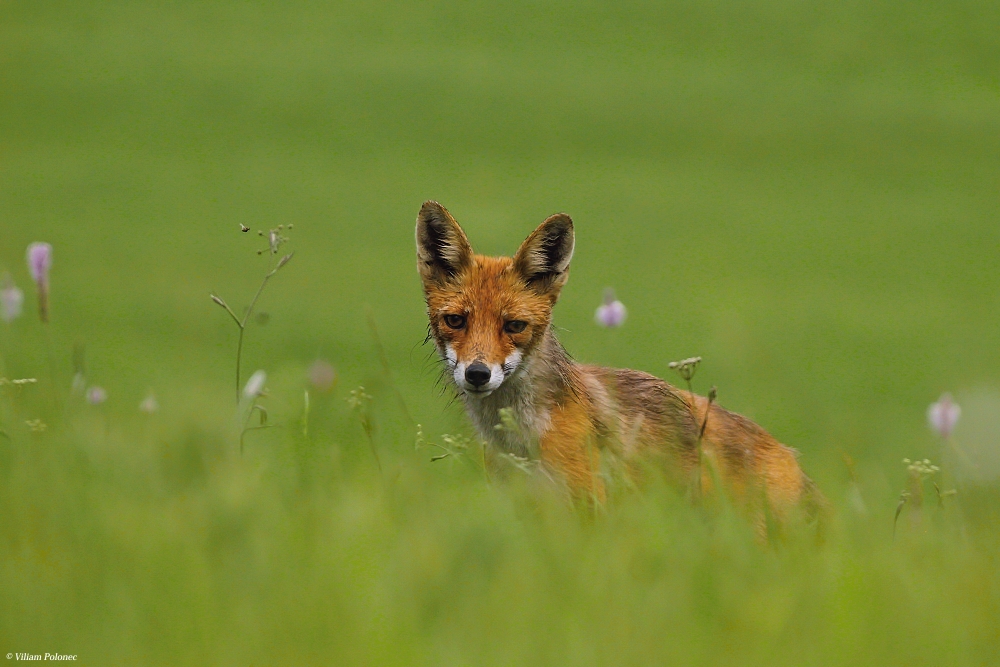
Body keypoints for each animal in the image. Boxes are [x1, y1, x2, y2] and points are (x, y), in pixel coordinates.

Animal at [414, 201, 820, 528]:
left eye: (514, 326)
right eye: (455, 321)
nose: (477, 374)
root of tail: (792, 458)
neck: (521, 441)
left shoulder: (589, 510)